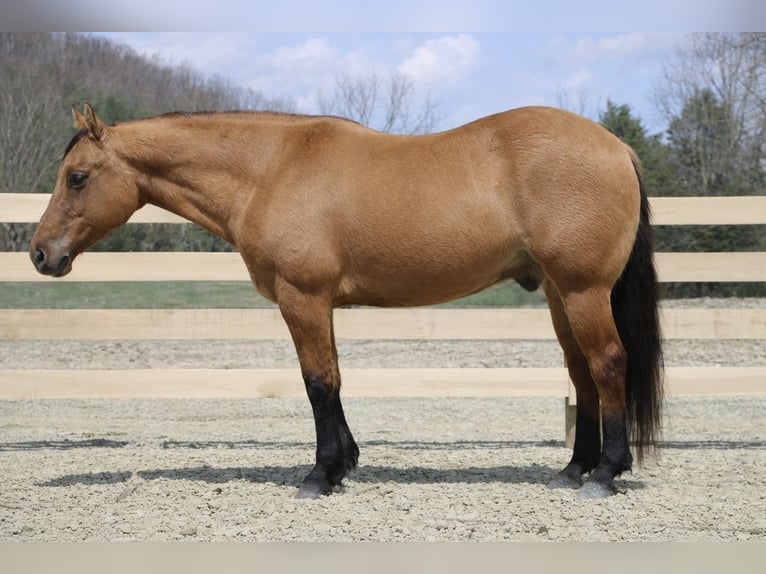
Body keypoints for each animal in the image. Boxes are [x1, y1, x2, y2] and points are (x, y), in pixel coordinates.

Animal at [30, 103, 663, 499]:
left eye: (77, 177)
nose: (40, 253)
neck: (270, 169)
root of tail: (616, 147)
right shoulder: (320, 304)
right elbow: (332, 378)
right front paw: (346, 463)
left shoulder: (302, 298)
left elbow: (317, 382)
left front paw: (321, 474)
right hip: (560, 294)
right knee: (581, 372)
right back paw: (573, 469)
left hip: (582, 290)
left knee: (608, 364)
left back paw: (605, 473)